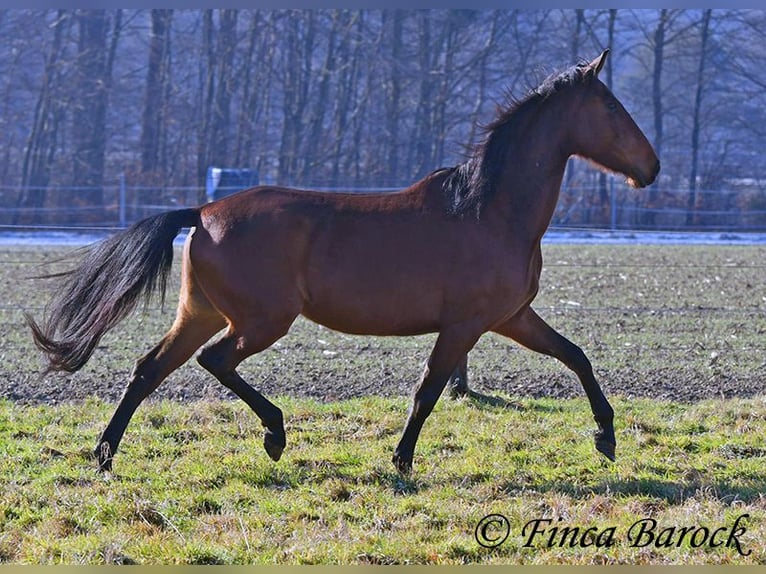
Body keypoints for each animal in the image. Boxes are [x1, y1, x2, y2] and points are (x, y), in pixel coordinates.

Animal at [25, 51, 660, 476]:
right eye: (610, 105)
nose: (651, 167)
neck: (489, 211)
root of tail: (203, 211)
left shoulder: (510, 317)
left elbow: (576, 356)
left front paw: (606, 437)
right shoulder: (465, 325)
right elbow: (428, 390)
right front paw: (401, 461)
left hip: (200, 312)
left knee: (149, 369)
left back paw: (105, 456)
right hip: (261, 320)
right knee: (215, 361)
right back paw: (275, 434)